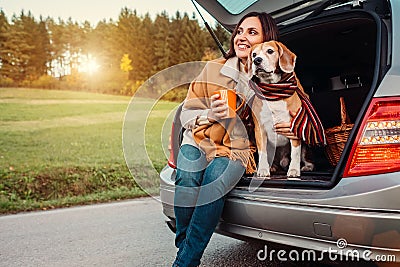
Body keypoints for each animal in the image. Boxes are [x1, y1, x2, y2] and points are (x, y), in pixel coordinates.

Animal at [247, 41, 316, 180]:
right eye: (254, 54)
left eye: (270, 51)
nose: (257, 60)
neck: (273, 92)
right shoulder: (260, 129)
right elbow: (262, 152)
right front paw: (263, 169)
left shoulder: (293, 128)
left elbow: (295, 153)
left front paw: (294, 170)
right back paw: (272, 167)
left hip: (305, 147)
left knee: (306, 159)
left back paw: (306, 167)